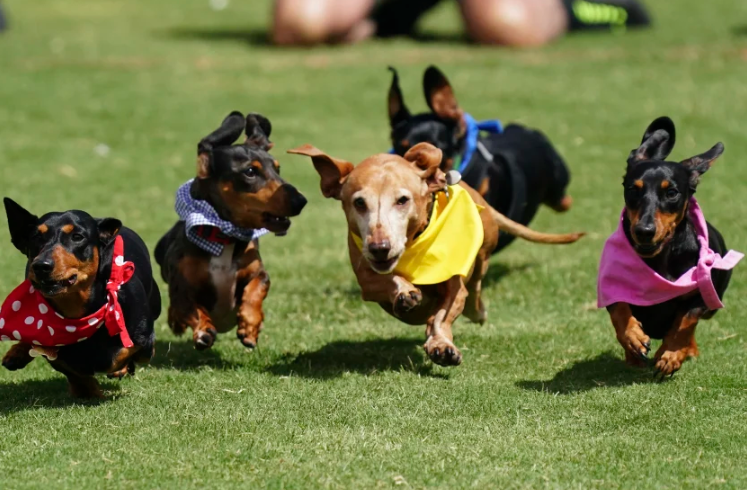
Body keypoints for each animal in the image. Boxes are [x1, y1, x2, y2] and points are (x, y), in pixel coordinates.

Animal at [1, 199, 161, 398]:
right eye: (36, 236)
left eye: (77, 237)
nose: (41, 266)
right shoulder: (51, 345)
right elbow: (70, 368)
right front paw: (87, 390)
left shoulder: (145, 342)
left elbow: (119, 355)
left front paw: (115, 369)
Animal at [156, 110, 308, 350]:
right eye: (250, 171)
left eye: (278, 168)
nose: (300, 201)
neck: (224, 237)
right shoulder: (182, 289)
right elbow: (193, 309)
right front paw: (204, 330)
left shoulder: (259, 272)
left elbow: (256, 289)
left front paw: (250, 326)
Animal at [288, 141, 584, 364]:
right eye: (359, 203)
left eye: (402, 200)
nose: (380, 248)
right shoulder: (366, 277)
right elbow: (385, 280)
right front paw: (405, 292)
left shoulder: (454, 282)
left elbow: (445, 312)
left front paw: (441, 344)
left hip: (483, 255)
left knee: (475, 287)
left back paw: (473, 312)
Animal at [600, 117, 740, 378]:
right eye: (633, 189)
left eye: (672, 192)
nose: (644, 231)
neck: (660, 259)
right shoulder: (612, 288)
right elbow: (620, 309)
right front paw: (633, 339)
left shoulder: (702, 294)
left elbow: (686, 320)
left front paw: (671, 355)